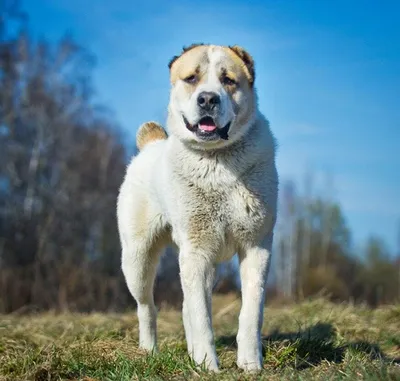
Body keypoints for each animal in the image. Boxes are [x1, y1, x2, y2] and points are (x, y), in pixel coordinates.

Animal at [117, 43, 276, 370]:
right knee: (146, 307)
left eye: (228, 80)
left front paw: (250, 363)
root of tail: (151, 144)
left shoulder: (256, 246)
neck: (217, 160)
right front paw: (207, 366)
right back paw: (149, 350)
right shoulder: (197, 251)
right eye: (191, 78)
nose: (207, 99)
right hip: (137, 259)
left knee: (184, 306)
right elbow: (202, 315)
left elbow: (251, 310)